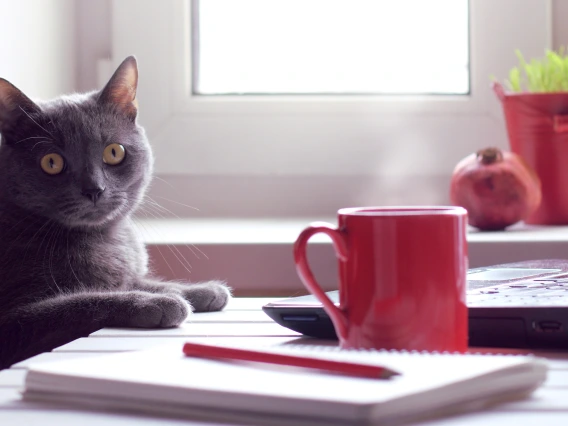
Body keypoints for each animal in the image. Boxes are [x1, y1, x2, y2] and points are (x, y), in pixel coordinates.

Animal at [0, 57, 231, 370]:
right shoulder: (13, 320)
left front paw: (203, 291)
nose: (94, 189)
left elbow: (141, 281)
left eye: (113, 152)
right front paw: (158, 302)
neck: (106, 237)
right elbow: (81, 301)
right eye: (51, 162)